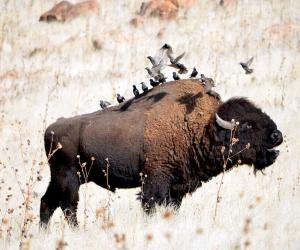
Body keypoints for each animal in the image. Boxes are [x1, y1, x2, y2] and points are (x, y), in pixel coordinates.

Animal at [40, 79, 284, 227]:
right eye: (246, 126)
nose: (277, 135)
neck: (201, 127)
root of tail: (51, 128)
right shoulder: (155, 182)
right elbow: (151, 205)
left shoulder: (177, 188)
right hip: (69, 178)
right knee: (68, 206)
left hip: (63, 178)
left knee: (47, 203)